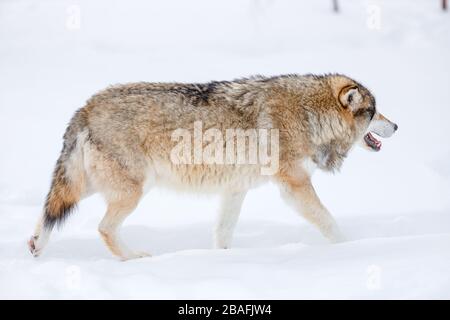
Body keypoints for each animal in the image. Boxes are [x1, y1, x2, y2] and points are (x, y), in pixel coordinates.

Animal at [28, 73, 398, 260]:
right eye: (374, 111)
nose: (396, 126)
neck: (310, 114)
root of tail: (85, 107)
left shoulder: (235, 189)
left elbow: (223, 233)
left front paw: (220, 263)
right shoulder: (294, 186)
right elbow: (329, 222)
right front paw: (351, 247)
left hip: (93, 186)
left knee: (48, 211)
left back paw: (36, 246)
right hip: (132, 191)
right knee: (104, 228)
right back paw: (133, 258)